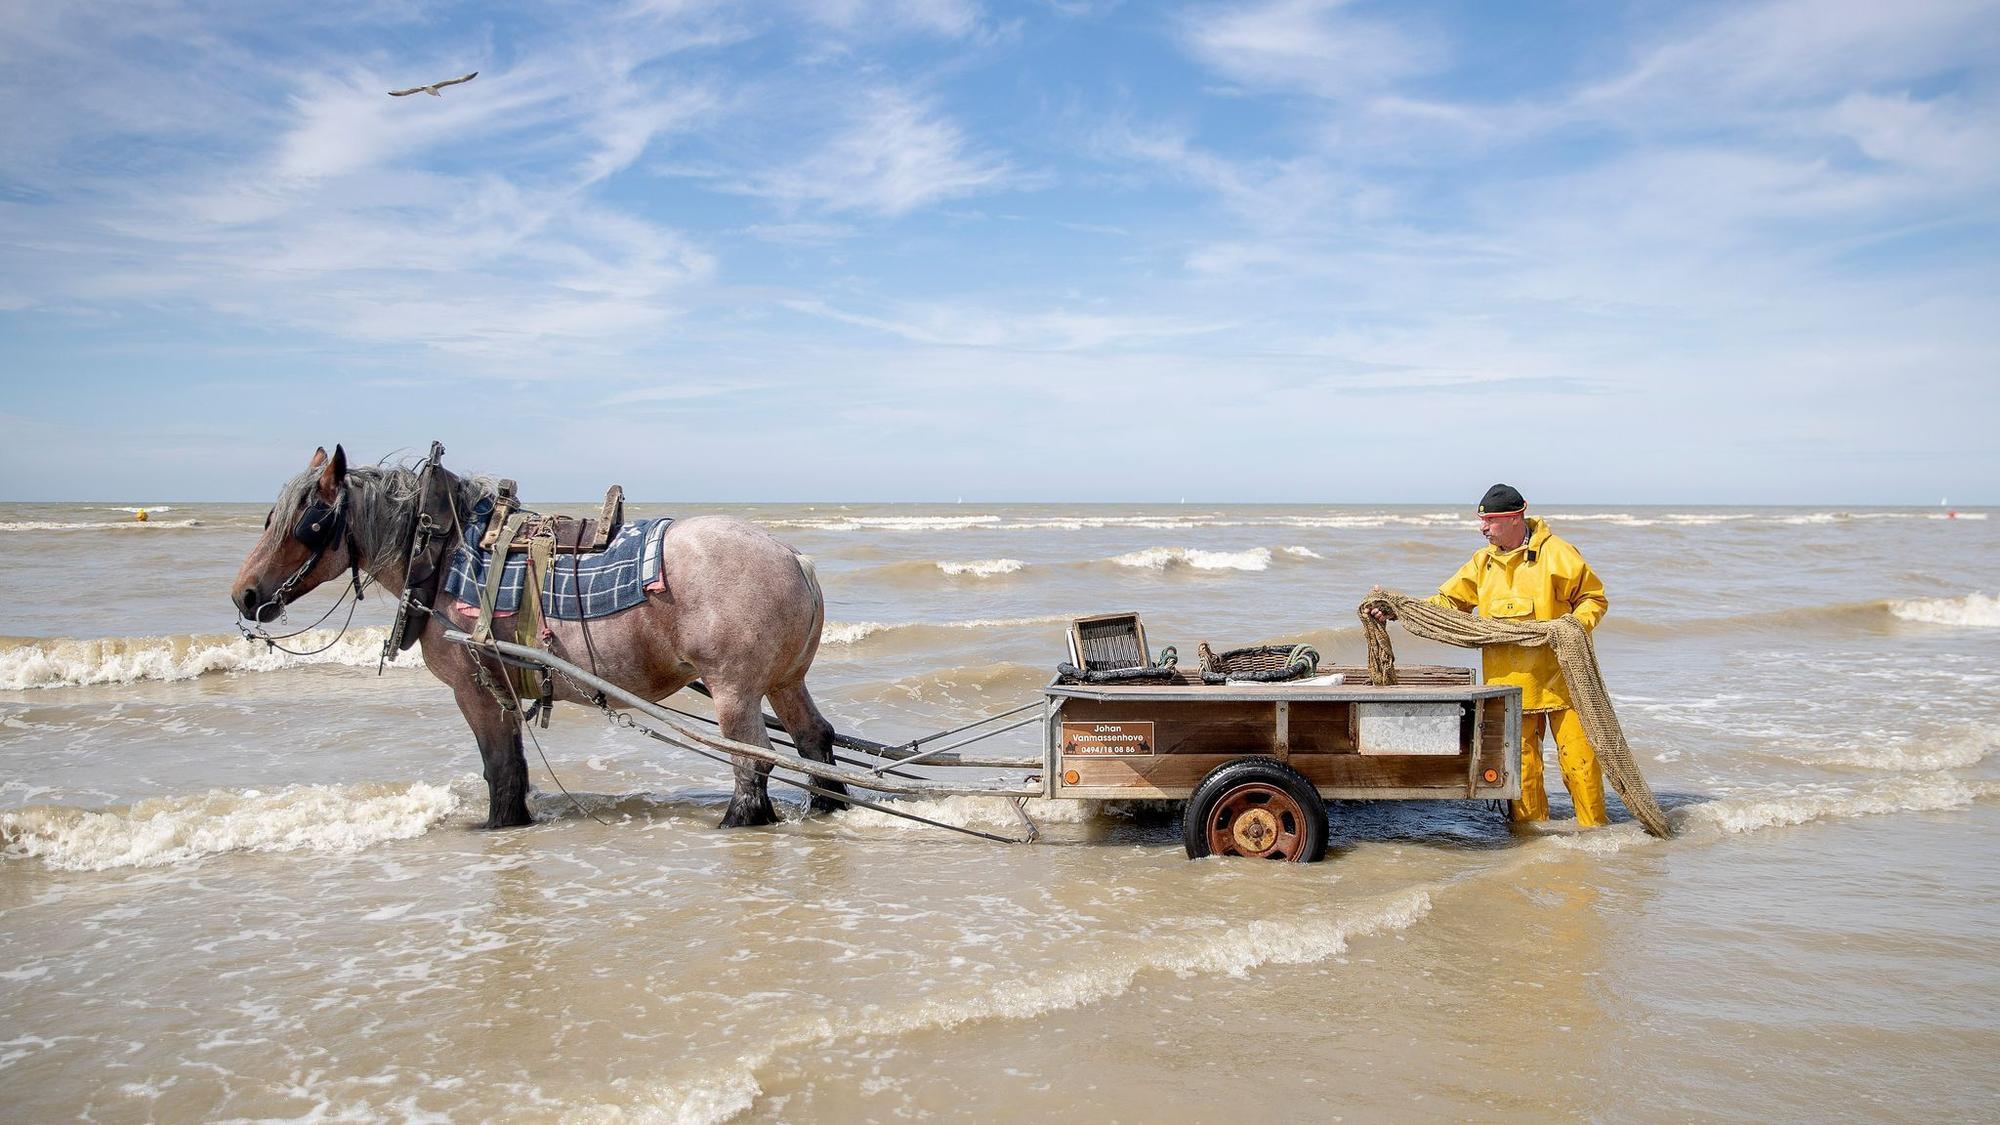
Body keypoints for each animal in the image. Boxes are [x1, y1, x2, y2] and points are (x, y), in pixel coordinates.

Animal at [231, 445, 845, 830]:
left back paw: (738, 821)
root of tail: (796, 559)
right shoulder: (501, 688)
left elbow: (500, 768)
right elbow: (514, 767)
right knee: (814, 741)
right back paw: (824, 807)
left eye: (308, 523)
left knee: (753, 763)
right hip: (783, 682)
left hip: (733, 691)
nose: (243, 595)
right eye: (269, 518)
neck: (443, 553)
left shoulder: (475, 688)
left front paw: (498, 826)